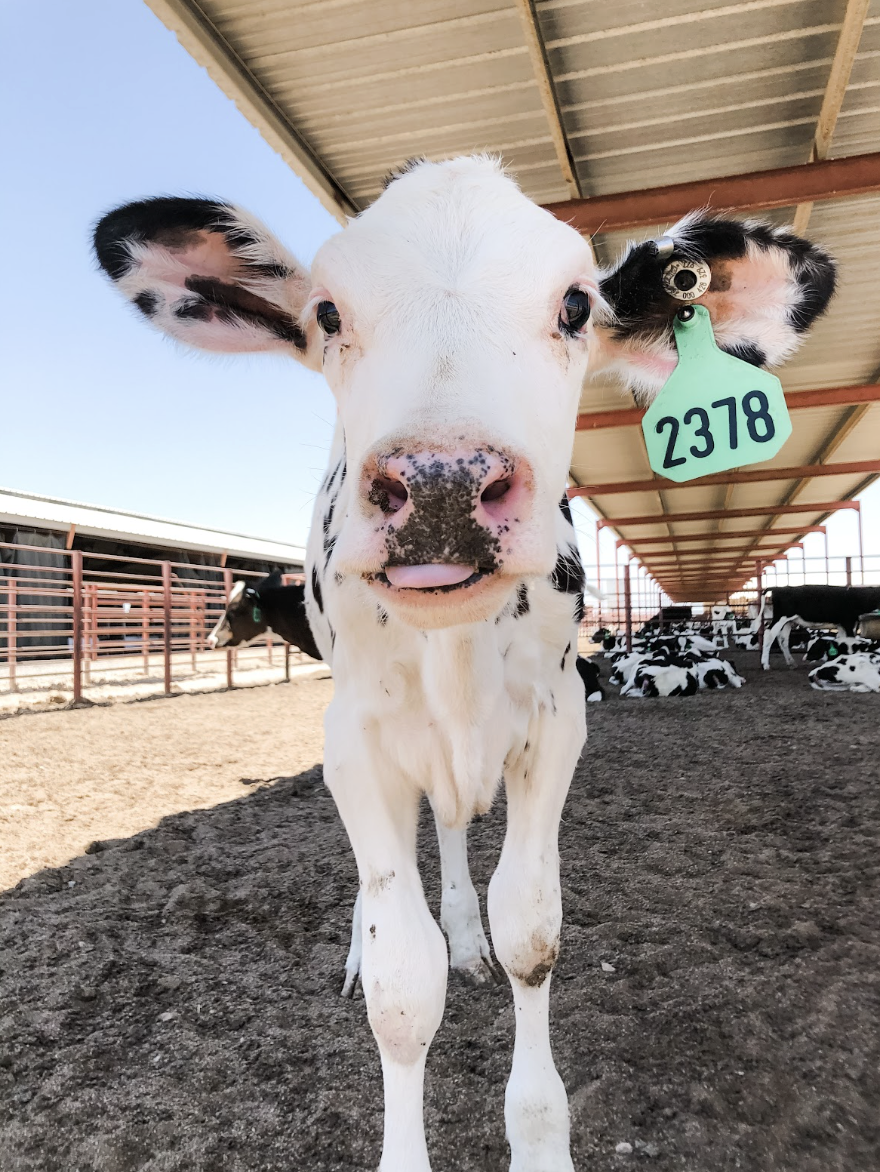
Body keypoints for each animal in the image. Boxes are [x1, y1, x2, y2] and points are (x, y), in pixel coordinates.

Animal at [94, 156, 834, 1172]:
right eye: (328, 312)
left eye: (574, 305)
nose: (443, 483)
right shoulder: (355, 738)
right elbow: (402, 986)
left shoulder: (558, 720)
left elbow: (532, 930)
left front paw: (538, 1131)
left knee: (449, 836)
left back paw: (462, 929)